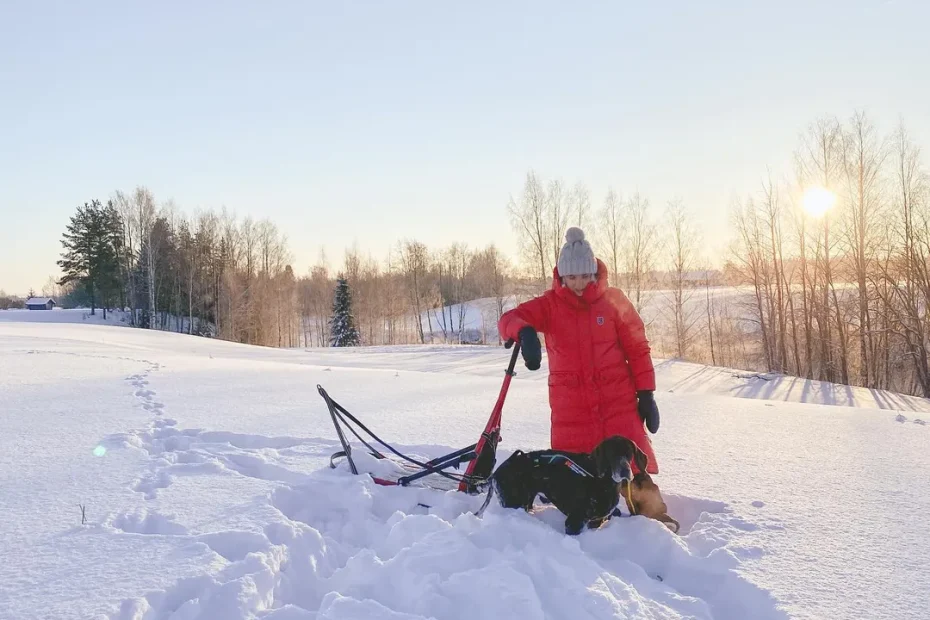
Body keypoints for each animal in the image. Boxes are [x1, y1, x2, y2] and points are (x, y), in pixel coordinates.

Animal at [478, 436, 644, 532]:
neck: (602, 481)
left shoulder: (595, 522)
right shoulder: (574, 522)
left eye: (629, 453)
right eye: (610, 453)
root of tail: (496, 472)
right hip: (513, 503)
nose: (625, 471)